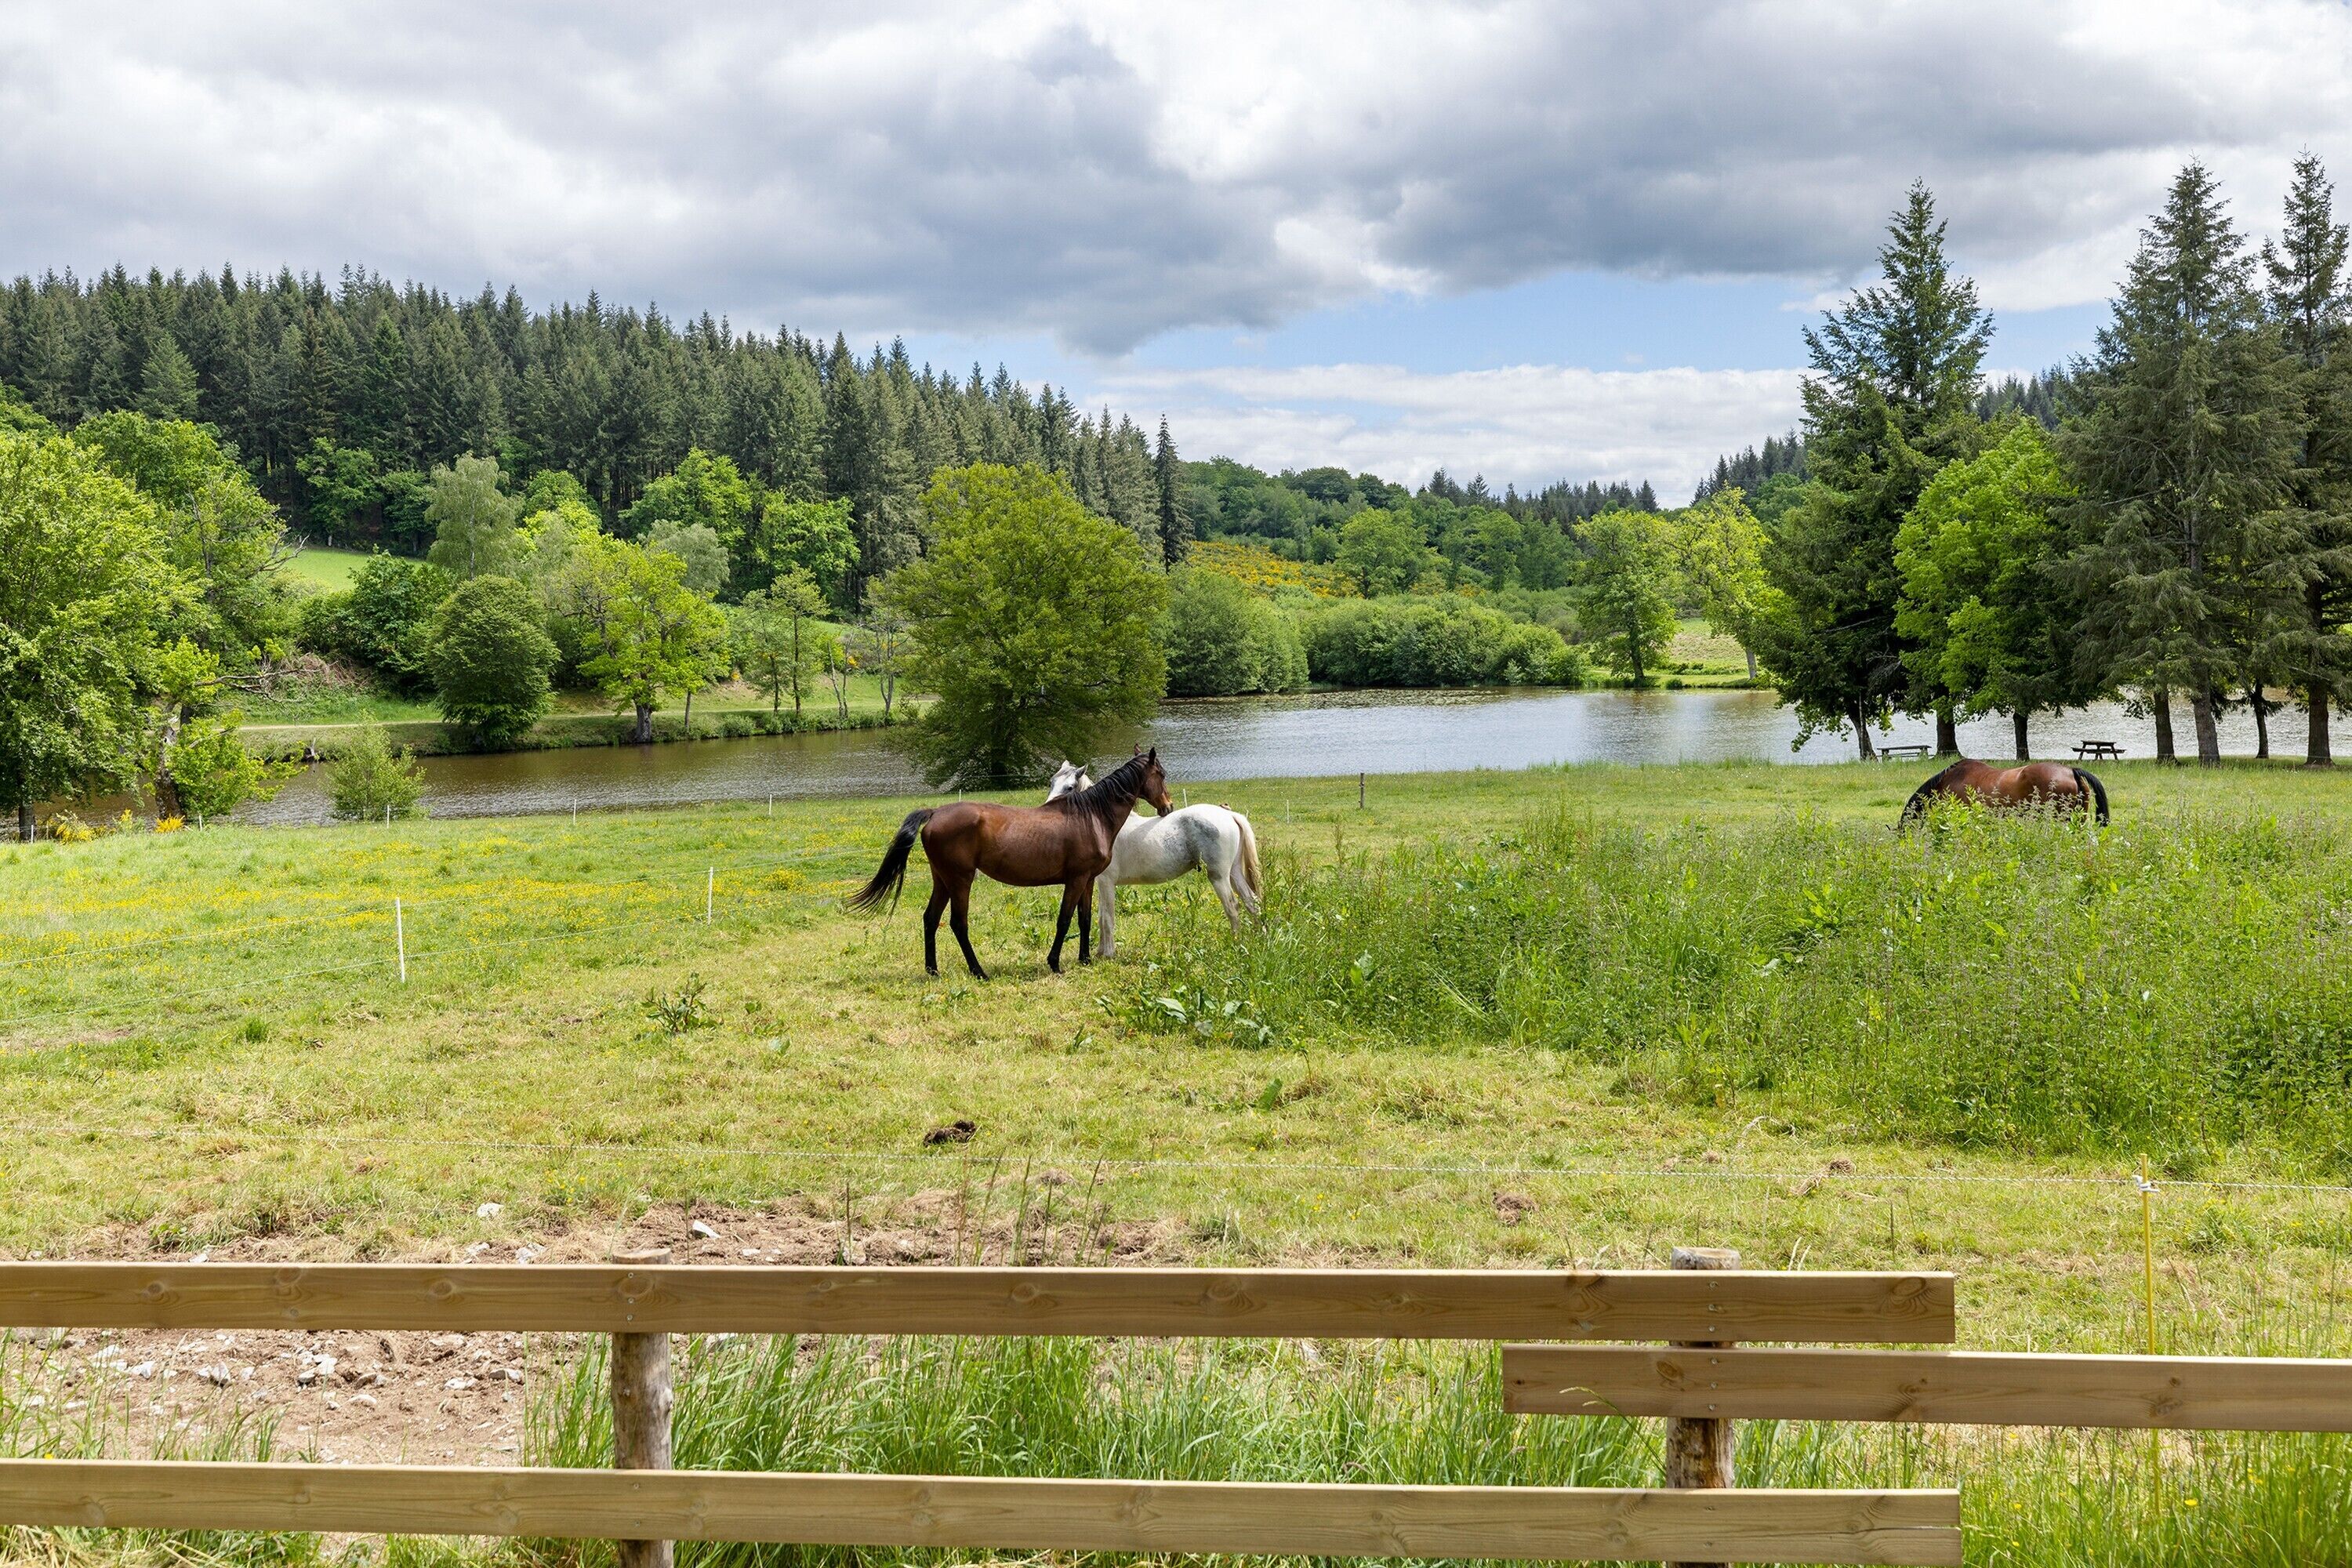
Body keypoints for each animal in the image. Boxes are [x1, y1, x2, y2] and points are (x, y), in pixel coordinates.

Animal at [846, 749, 1172, 979]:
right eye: (1162, 774)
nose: (1168, 807)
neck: (1090, 817)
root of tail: (936, 812)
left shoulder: (1089, 880)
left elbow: (1085, 919)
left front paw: (1085, 959)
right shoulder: (1076, 879)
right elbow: (1065, 920)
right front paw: (1055, 963)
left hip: (942, 880)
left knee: (930, 919)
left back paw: (933, 971)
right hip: (961, 880)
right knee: (958, 924)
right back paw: (978, 971)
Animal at [1047, 763, 1262, 958]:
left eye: (1069, 788)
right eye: (1051, 783)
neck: (1104, 826)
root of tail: (1229, 814)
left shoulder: (1107, 882)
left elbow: (1107, 918)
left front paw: (1108, 954)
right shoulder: (1100, 882)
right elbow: (1101, 916)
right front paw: (1100, 952)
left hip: (1219, 876)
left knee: (1232, 907)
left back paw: (1236, 944)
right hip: (1234, 872)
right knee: (1252, 902)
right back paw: (1260, 938)